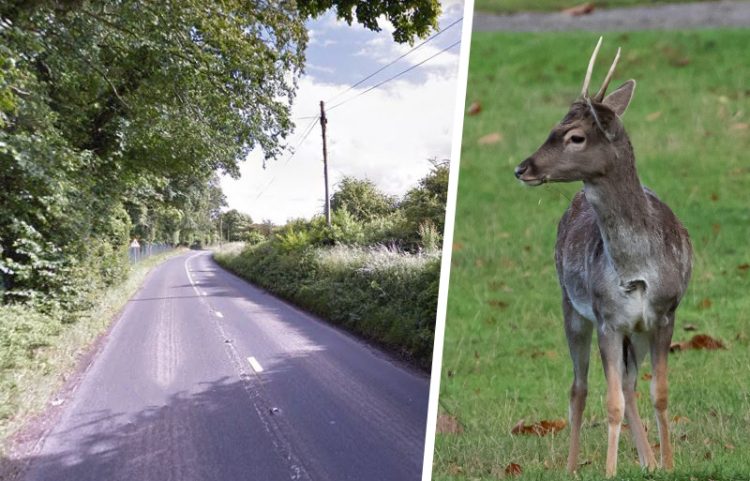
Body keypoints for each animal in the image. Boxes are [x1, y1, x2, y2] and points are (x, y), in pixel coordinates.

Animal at [513, 37, 692, 477]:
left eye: (575, 136)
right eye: (553, 127)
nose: (523, 168)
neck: (636, 265)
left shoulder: (664, 313)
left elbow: (659, 391)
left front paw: (667, 463)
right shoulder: (607, 318)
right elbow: (609, 402)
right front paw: (611, 471)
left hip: (636, 329)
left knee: (628, 383)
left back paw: (647, 460)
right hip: (572, 307)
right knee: (579, 388)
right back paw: (573, 466)